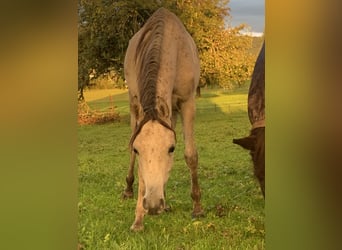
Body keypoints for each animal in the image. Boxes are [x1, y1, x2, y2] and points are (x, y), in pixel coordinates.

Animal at [123, 7, 203, 230]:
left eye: (171, 148)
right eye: (138, 149)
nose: (152, 205)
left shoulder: (187, 102)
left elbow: (190, 155)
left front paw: (197, 207)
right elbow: (138, 163)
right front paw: (138, 219)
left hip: (172, 111)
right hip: (133, 106)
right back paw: (129, 189)